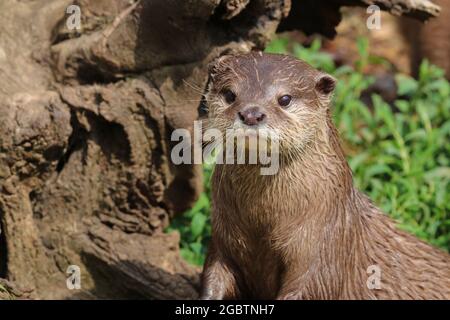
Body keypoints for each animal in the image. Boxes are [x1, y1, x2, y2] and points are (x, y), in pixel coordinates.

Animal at [200, 52, 450, 300]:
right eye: (230, 94)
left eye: (285, 99)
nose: (251, 114)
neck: (261, 223)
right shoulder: (223, 238)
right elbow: (215, 277)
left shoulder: (323, 248)